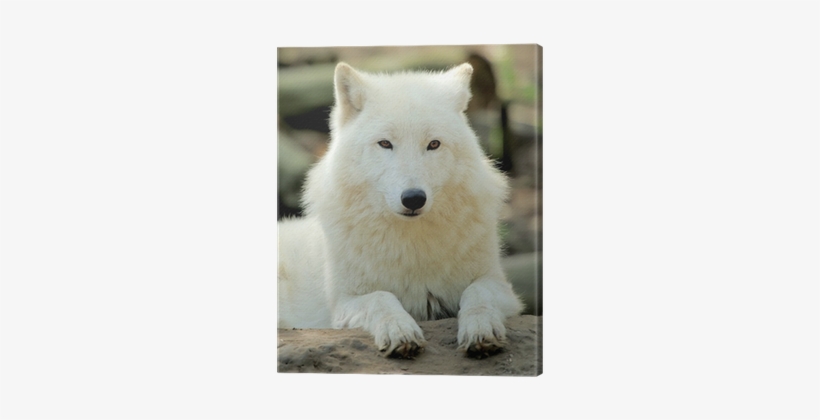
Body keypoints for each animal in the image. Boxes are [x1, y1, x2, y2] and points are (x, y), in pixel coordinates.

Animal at [277, 62, 523, 359]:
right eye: (385, 143)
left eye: (433, 144)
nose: (414, 199)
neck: (412, 245)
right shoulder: (345, 302)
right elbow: (382, 298)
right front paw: (400, 331)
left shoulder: (498, 284)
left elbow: (477, 294)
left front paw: (480, 330)